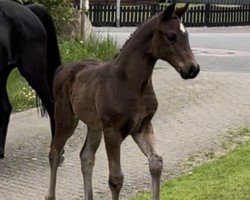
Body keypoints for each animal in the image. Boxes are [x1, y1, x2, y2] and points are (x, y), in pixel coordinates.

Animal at [46, 3, 200, 200]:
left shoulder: (142, 126)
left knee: (86, 157)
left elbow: (156, 163)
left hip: (94, 126)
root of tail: (62, 69)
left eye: (186, 35)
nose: (193, 69)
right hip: (66, 119)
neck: (130, 82)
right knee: (55, 153)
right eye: (171, 36)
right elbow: (115, 179)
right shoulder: (112, 131)